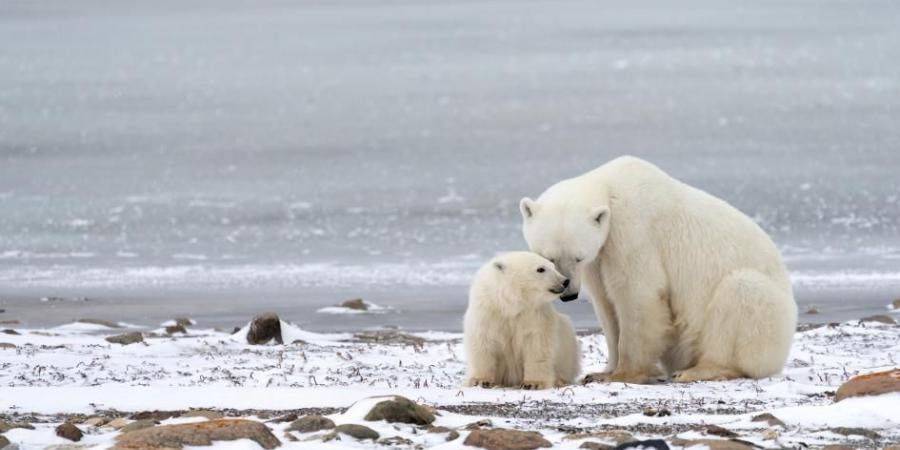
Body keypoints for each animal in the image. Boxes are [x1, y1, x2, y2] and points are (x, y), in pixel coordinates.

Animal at [516, 156, 800, 384]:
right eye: (548, 257)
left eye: (578, 257)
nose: (568, 293)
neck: (610, 187)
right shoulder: (600, 258)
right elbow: (607, 305)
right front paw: (601, 372)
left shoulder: (633, 235)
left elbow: (638, 297)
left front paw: (623, 374)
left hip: (767, 318)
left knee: (741, 293)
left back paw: (696, 370)